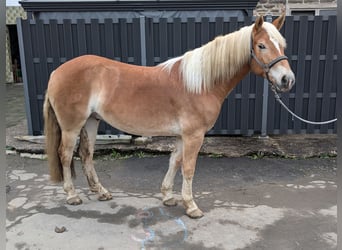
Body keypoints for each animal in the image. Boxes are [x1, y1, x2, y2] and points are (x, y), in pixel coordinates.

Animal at [43, 16, 294, 219]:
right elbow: (189, 168)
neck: (200, 83)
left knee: (86, 154)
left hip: (91, 121)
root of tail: (56, 72)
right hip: (71, 126)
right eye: (261, 45)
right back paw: (72, 195)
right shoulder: (194, 135)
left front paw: (168, 196)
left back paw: (101, 191)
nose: (287, 80)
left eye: (282, 45)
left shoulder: (183, 135)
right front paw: (191, 206)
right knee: (65, 155)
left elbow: (175, 161)